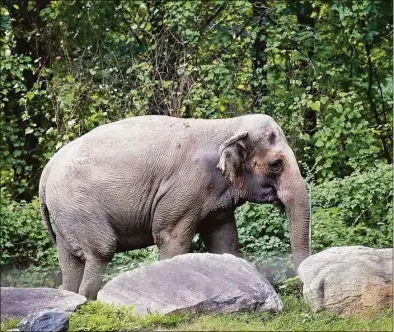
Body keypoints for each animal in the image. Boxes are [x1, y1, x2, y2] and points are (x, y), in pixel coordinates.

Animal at [40, 114, 310, 298]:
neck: (228, 125)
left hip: (65, 215)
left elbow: (224, 241)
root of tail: (48, 168)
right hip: (79, 206)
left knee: (69, 262)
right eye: (275, 164)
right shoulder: (184, 189)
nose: (299, 291)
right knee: (101, 251)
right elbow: (171, 237)